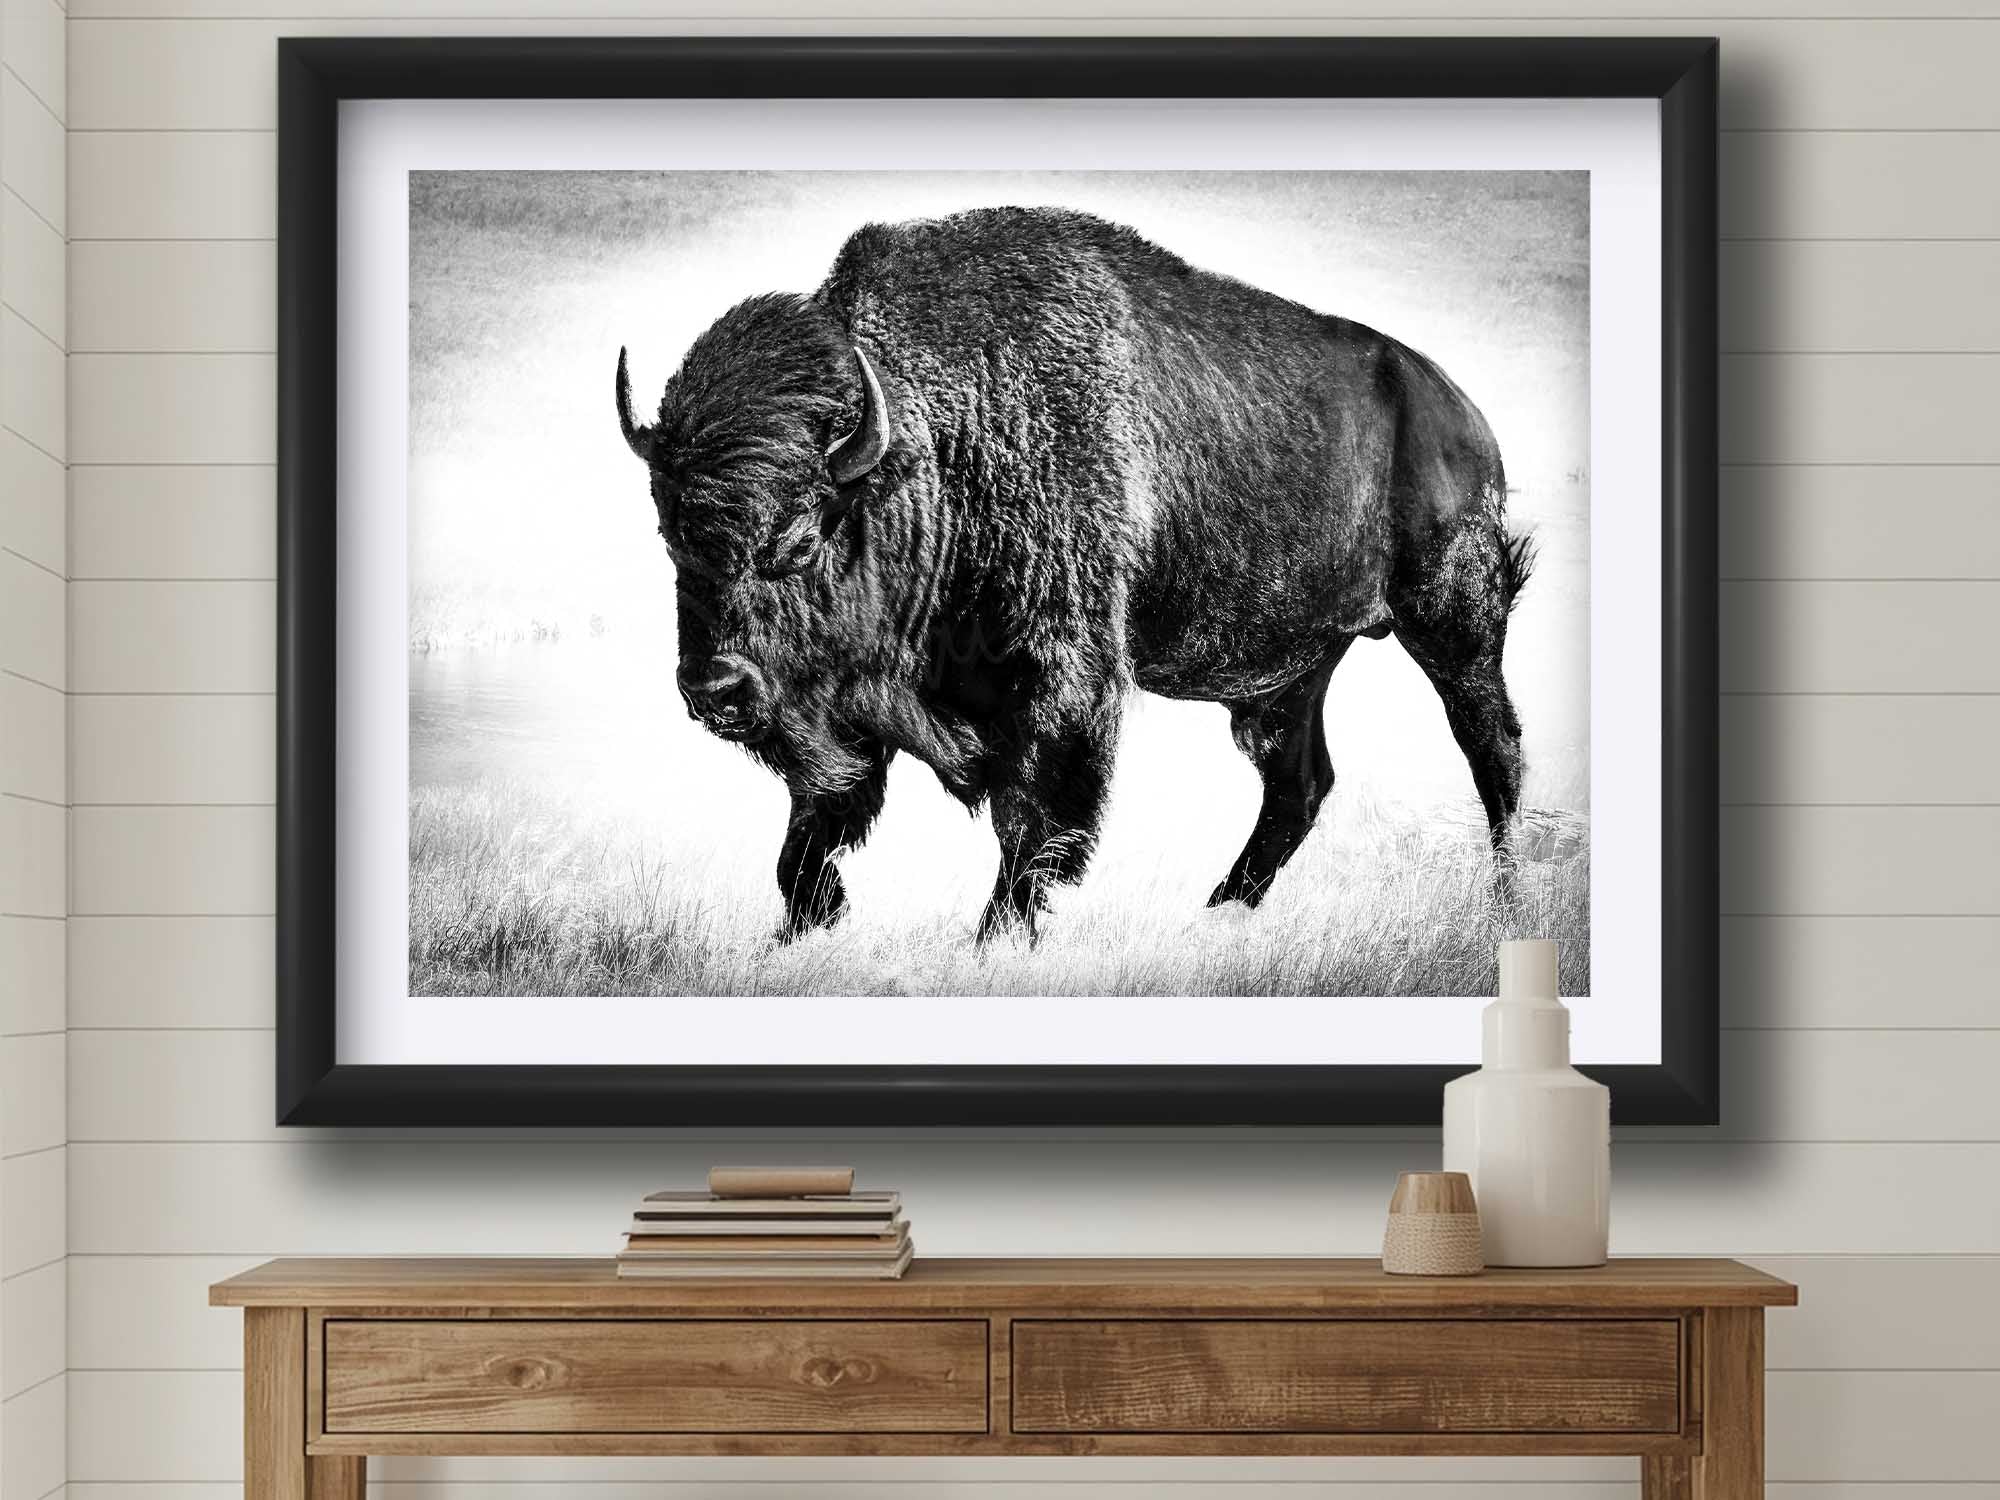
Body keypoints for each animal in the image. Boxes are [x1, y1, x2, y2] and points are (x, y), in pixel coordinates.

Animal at [615, 206, 1532, 941]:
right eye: (672, 539)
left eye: (801, 539)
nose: (714, 688)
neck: (940, 439)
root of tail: (1461, 413)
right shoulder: (853, 708)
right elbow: (812, 831)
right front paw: (808, 925)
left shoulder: (1060, 679)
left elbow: (1033, 822)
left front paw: (995, 941)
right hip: (1294, 670)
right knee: (1297, 783)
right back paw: (1217, 914)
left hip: (1454, 622)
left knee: (1492, 749)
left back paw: (1506, 904)